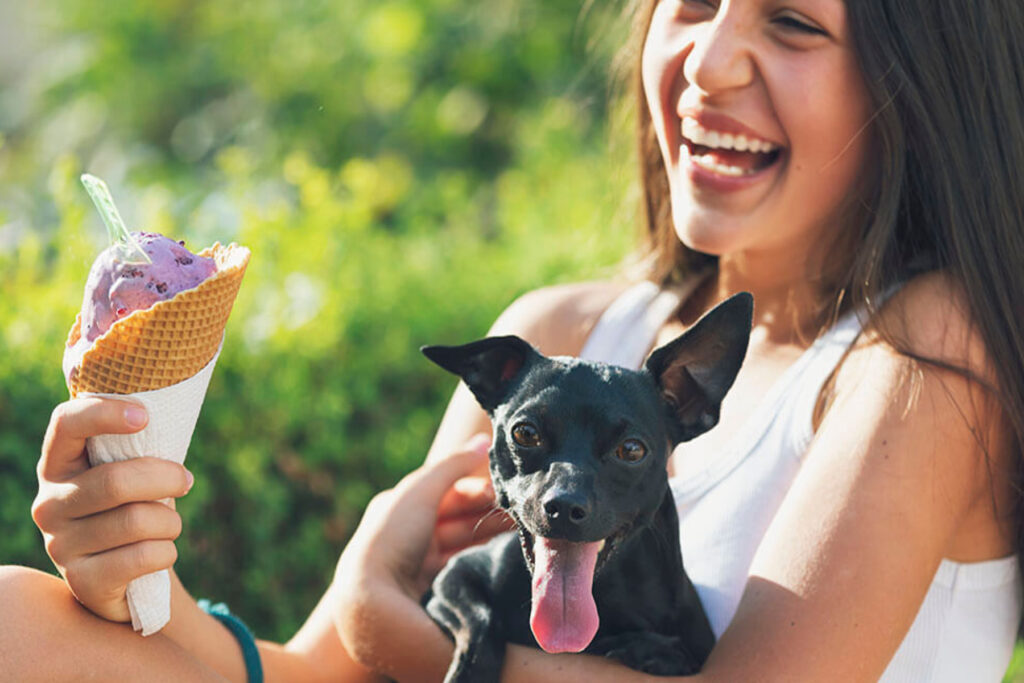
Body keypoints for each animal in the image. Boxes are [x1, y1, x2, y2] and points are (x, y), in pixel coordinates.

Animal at [421, 290, 753, 679]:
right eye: (525, 433)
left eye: (631, 450)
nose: (564, 506)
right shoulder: (451, 580)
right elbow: (481, 621)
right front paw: (470, 673)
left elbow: (676, 654)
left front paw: (650, 649)